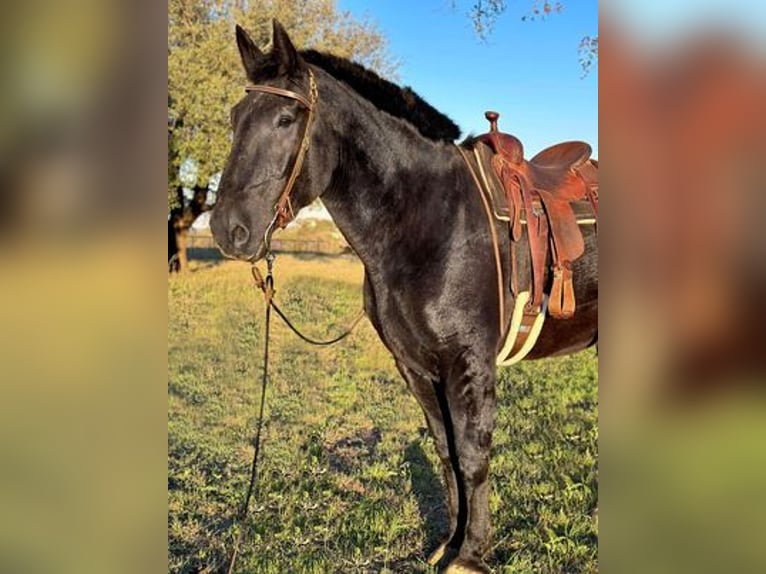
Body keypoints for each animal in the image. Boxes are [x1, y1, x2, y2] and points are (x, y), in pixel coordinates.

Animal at [212, 21, 600, 574]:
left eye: (286, 119)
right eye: (235, 118)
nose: (228, 228)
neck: (430, 219)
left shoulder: (469, 362)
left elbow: (473, 455)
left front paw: (472, 555)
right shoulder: (415, 364)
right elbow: (446, 451)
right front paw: (448, 543)